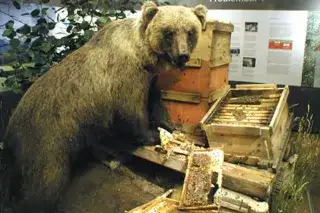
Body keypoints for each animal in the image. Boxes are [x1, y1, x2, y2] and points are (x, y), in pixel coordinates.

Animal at [1, 1, 208, 213]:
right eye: (168, 32)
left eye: (190, 32)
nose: (182, 55)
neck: (143, 56)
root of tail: (11, 125)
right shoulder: (126, 78)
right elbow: (131, 111)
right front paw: (151, 135)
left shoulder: (150, 78)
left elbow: (154, 101)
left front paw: (168, 126)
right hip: (48, 139)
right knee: (44, 183)